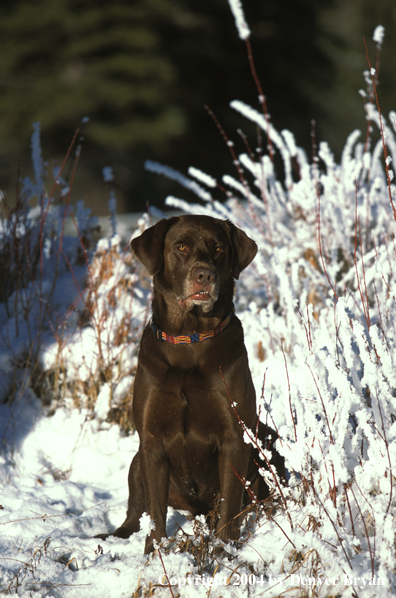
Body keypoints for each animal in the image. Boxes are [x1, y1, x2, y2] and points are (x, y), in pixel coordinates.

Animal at [99, 214, 284, 552]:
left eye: (219, 248)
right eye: (181, 247)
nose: (204, 275)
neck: (191, 336)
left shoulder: (234, 436)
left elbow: (228, 505)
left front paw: (223, 550)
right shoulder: (151, 440)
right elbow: (155, 511)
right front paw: (155, 553)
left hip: (268, 440)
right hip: (136, 460)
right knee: (135, 514)